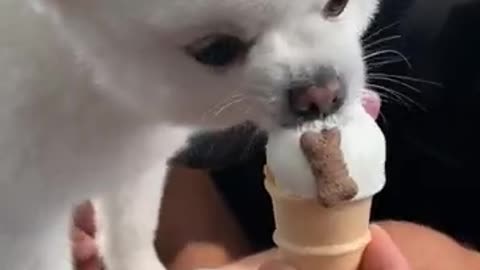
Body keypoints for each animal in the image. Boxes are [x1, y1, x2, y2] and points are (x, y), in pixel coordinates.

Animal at [0, 0, 378, 268]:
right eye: (215, 50)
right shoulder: (24, 219)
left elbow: (131, 229)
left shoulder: (134, 166)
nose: (321, 94)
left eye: (337, 4)